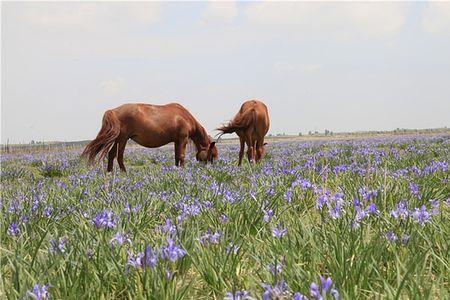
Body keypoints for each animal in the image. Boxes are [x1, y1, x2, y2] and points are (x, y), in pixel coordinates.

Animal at [83, 102, 220, 171]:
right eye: (211, 155)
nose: (209, 169)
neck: (185, 117)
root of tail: (114, 110)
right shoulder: (183, 139)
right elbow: (181, 156)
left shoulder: (177, 141)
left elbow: (176, 156)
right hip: (122, 139)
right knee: (119, 156)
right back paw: (124, 173)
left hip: (118, 139)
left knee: (111, 154)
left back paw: (110, 172)